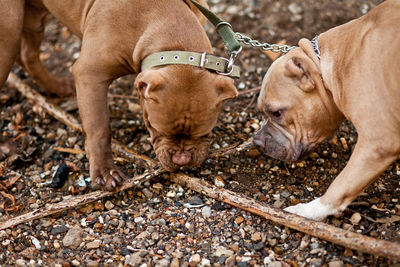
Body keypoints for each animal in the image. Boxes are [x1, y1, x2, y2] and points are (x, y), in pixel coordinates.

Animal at [0, 1, 238, 192]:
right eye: (154, 127)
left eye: (206, 131)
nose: (182, 159)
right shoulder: (90, 75)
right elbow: (99, 128)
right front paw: (105, 172)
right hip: (9, 34)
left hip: (33, 19)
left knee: (28, 55)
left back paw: (57, 86)